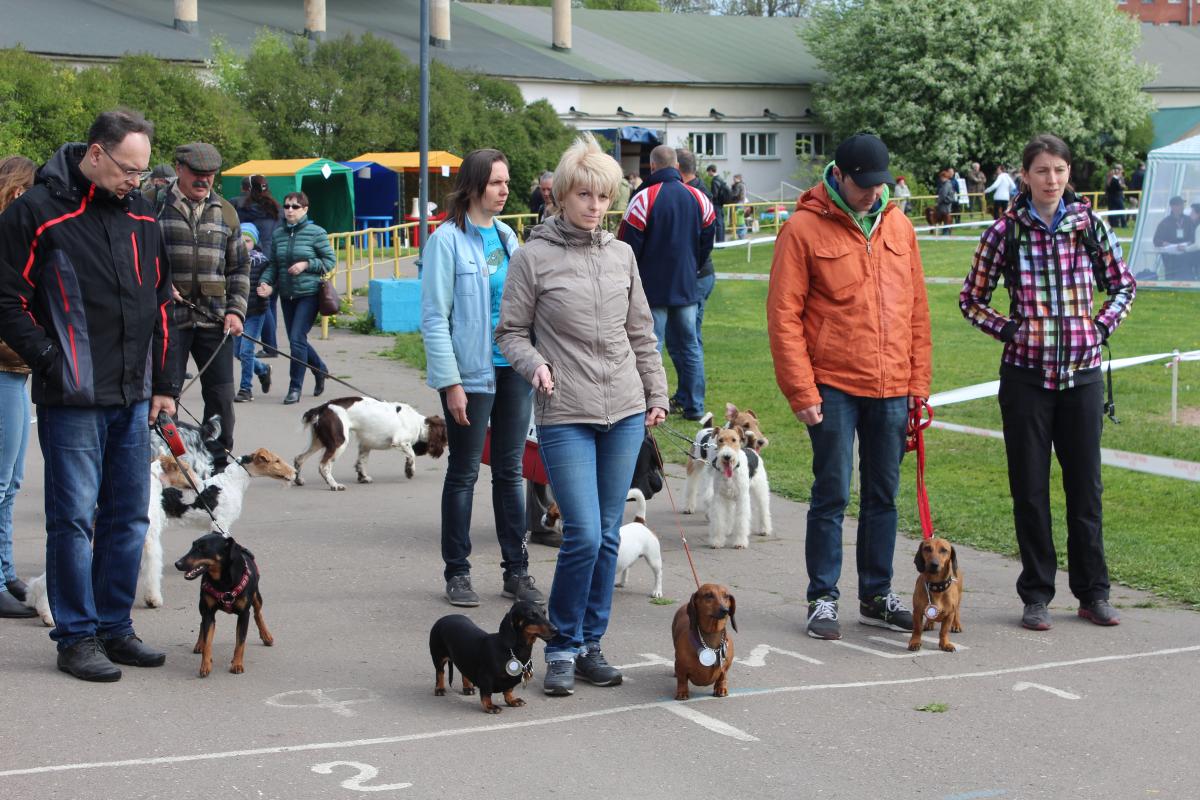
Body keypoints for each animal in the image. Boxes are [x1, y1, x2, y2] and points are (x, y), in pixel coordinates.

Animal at [175, 532, 274, 676]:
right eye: (192, 545)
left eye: (202, 549)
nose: (177, 564)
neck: (222, 581)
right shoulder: (209, 612)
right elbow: (208, 641)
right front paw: (205, 665)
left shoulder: (244, 614)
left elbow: (240, 642)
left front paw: (237, 664)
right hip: (202, 605)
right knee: (202, 623)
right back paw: (199, 644)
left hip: (256, 596)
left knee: (257, 613)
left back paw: (266, 636)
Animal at [294, 396, 448, 491]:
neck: (419, 424)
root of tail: (322, 408)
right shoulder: (400, 441)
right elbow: (411, 455)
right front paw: (409, 471)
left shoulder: (365, 445)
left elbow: (361, 462)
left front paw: (363, 477)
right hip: (339, 442)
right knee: (324, 465)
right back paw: (334, 485)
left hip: (318, 441)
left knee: (299, 458)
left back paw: (298, 480)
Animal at [429, 600, 557, 714]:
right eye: (531, 614)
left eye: (544, 612)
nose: (556, 630)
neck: (512, 650)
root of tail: (446, 617)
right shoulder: (486, 678)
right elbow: (486, 694)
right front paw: (490, 707)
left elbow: (508, 690)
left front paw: (512, 700)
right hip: (438, 657)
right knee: (440, 673)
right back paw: (440, 689)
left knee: (463, 672)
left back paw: (468, 688)